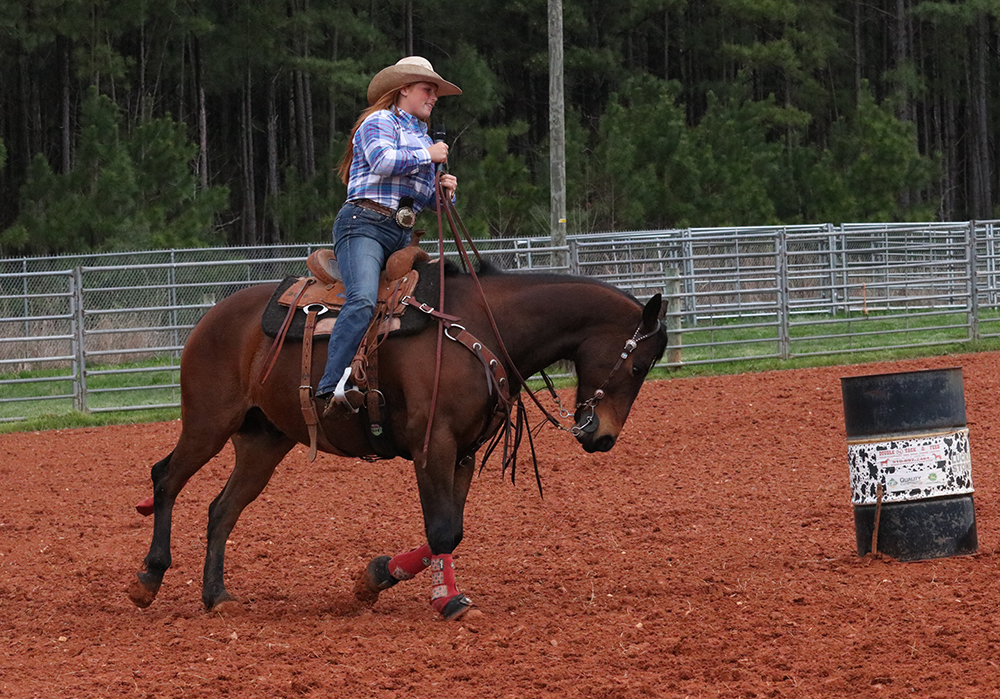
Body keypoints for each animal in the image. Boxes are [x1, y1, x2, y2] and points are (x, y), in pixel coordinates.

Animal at [129, 260, 668, 620]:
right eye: (639, 365)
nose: (602, 437)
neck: (479, 327)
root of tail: (210, 317)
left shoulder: (464, 452)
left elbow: (452, 528)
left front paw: (375, 577)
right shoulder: (435, 444)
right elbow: (442, 529)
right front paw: (450, 601)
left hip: (264, 441)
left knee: (221, 509)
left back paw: (216, 595)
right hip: (208, 424)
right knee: (166, 478)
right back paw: (149, 579)